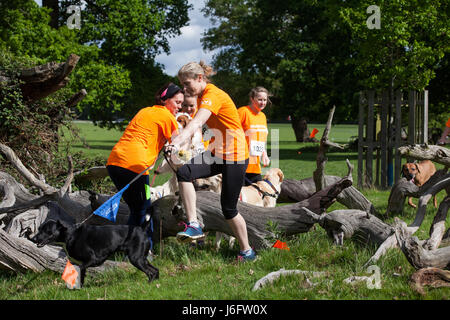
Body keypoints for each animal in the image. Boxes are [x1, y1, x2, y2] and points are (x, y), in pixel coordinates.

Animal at [29, 218, 158, 288]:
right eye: (39, 229)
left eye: (47, 230)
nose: (33, 239)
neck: (71, 235)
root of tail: (142, 229)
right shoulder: (81, 264)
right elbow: (80, 276)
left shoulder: (92, 260)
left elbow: (80, 273)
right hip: (142, 258)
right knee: (156, 270)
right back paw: (156, 284)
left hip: (136, 259)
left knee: (150, 272)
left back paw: (149, 284)